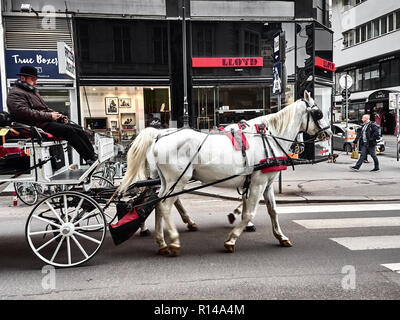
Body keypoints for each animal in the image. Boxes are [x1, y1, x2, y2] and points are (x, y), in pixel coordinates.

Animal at [119, 90, 332, 255]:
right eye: (319, 113)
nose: (329, 133)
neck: (268, 138)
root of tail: (159, 136)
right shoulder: (257, 183)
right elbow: (249, 213)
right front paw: (232, 239)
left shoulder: (266, 184)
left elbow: (272, 211)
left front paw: (281, 236)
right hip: (177, 181)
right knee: (163, 206)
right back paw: (173, 239)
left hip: (166, 182)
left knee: (157, 204)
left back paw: (162, 241)